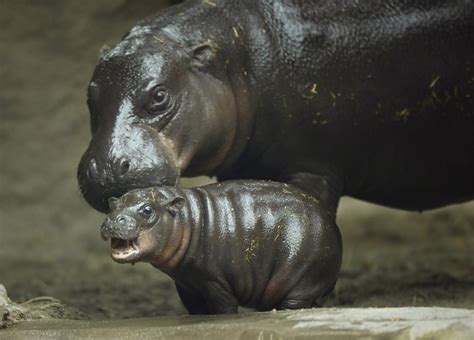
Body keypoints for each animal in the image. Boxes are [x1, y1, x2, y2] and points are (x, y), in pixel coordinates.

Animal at [102, 179, 342, 314]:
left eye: (147, 210)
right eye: (112, 205)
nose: (113, 219)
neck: (190, 219)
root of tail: (334, 228)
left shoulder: (216, 284)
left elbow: (223, 310)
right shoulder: (187, 284)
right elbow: (196, 310)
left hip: (301, 284)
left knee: (294, 305)